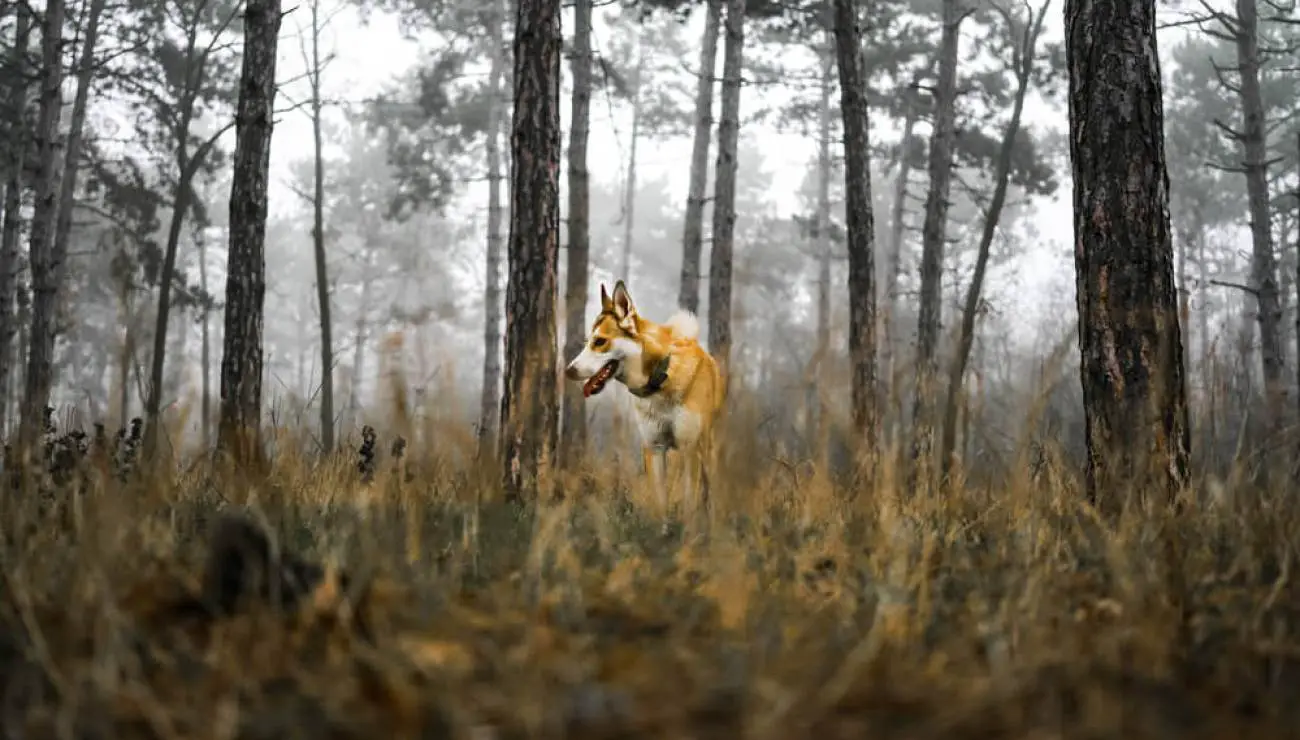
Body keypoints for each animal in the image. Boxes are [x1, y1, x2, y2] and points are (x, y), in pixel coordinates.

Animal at [561, 279, 728, 522]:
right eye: (587, 342)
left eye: (600, 342)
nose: (568, 371)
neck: (660, 379)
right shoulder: (654, 449)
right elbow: (659, 507)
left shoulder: (690, 449)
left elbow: (690, 506)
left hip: (707, 451)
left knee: (711, 494)